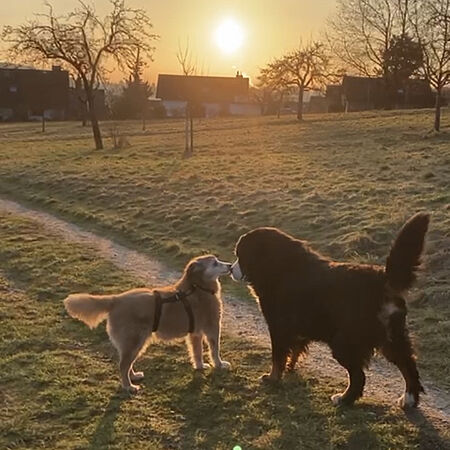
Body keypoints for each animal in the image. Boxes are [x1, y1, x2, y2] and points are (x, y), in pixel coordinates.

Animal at [64, 255, 232, 393]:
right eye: (215, 263)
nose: (230, 265)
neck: (197, 286)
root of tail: (116, 299)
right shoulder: (212, 328)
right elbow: (215, 350)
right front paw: (219, 365)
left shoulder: (195, 334)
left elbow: (197, 353)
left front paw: (199, 367)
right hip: (135, 342)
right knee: (123, 365)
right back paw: (129, 386)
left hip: (131, 344)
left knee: (126, 364)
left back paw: (134, 376)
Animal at [230, 213, 429, 408]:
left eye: (240, 255)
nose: (232, 269)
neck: (278, 267)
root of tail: (383, 279)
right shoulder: (296, 328)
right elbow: (294, 350)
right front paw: (290, 368)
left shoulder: (278, 327)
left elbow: (277, 357)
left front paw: (272, 378)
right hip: (392, 339)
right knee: (408, 367)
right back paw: (409, 399)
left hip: (344, 343)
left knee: (359, 377)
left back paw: (343, 399)